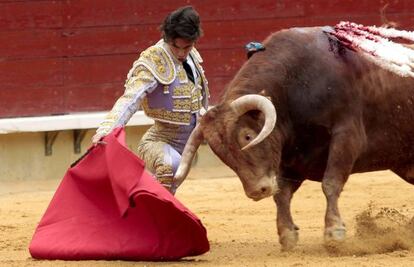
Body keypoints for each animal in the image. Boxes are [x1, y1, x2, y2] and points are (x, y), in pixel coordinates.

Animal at [173, 26, 414, 252]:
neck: (294, 88)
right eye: (220, 153)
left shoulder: (346, 135)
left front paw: (334, 232)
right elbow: (282, 194)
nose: (257, 191)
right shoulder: (290, 157)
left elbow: (331, 183)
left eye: (248, 136)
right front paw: (287, 234)